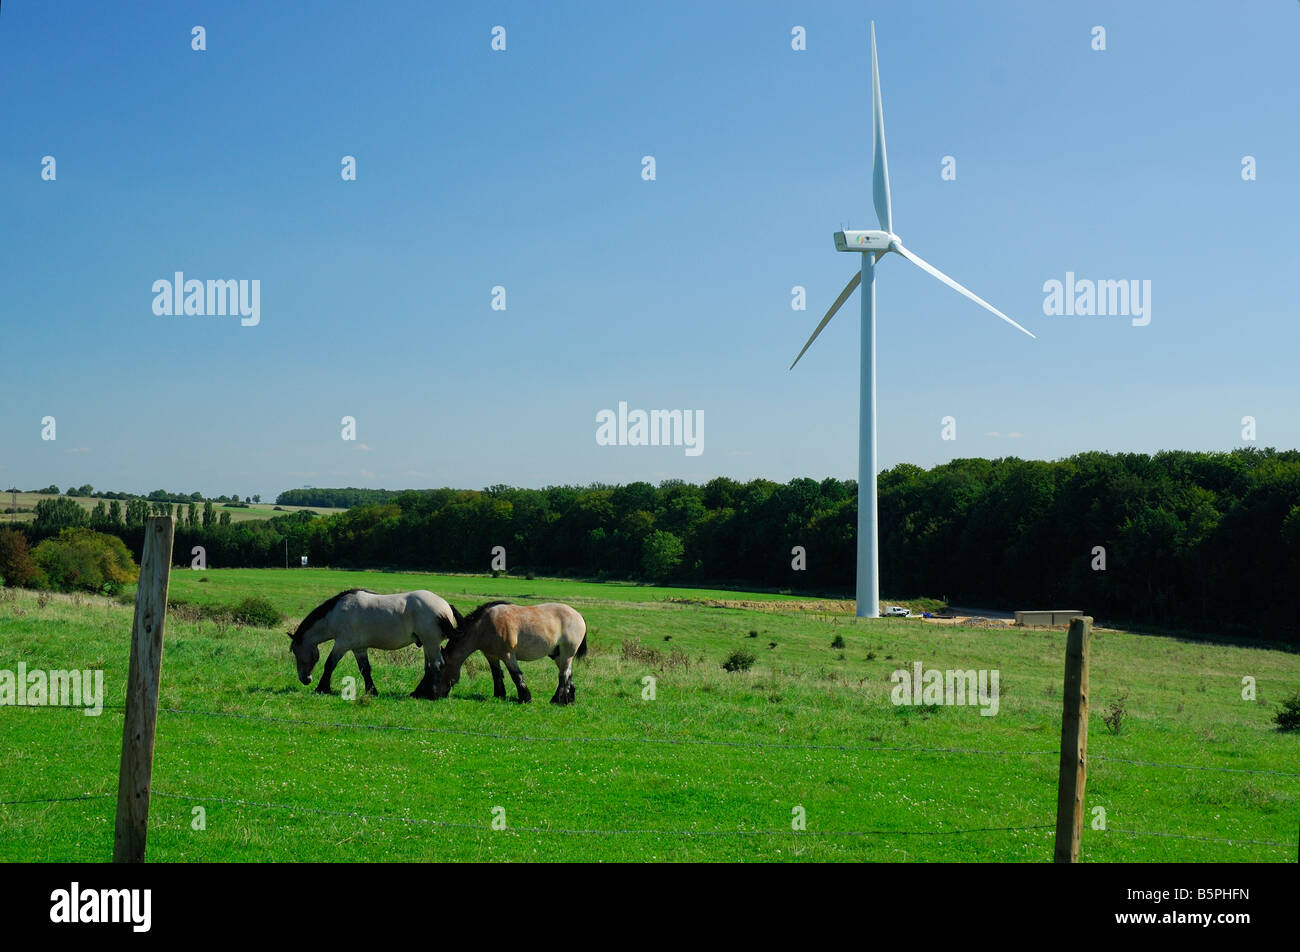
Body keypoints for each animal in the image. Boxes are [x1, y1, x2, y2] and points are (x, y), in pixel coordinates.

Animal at [288, 587, 462, 697]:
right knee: (429, 667)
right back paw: (419, 693)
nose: (305, 679)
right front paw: (372, 691)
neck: (337, 612)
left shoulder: (342, 644)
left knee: (437, 665)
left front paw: (321, 688)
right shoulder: (359, 648)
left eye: (296, 652)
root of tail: (445, 604)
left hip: (431, 643)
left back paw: (432, 694)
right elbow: (365, 669)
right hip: (428, 645)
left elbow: (329, 664)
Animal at [436, 598, 590, 702]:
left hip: (566, 654)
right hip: (558, 655)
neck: (485, 625)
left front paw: (525, 698)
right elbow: (497, 674)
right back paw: (569, 699)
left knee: (564, 675)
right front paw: (499, 695)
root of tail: (578, 615)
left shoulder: (508, 655)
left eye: (441, 669)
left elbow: (516, 676)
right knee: (568, 675)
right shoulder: (491, 655)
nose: (434, 694)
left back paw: (557, 700)